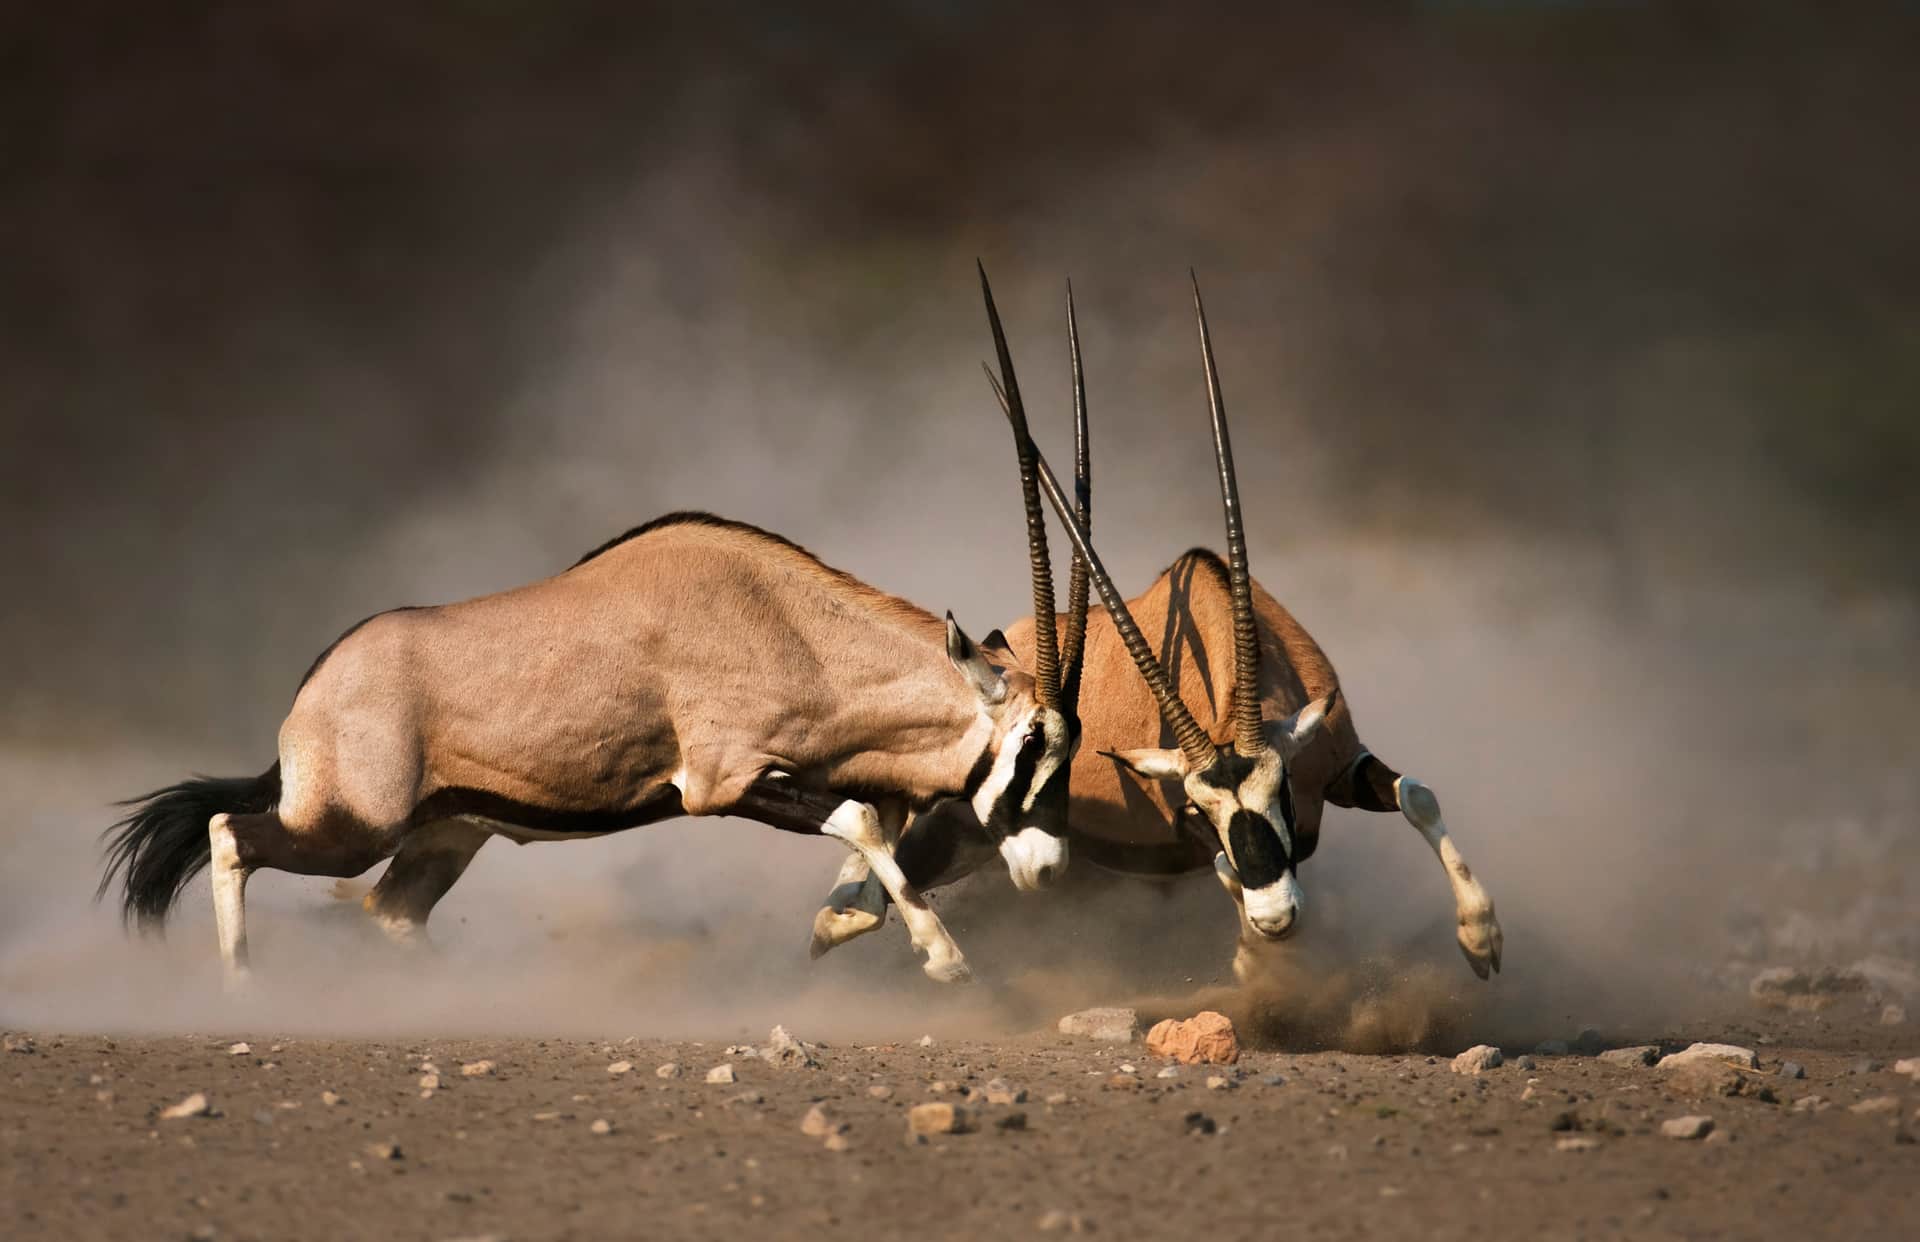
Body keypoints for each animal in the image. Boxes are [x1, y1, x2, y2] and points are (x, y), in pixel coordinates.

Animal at [99, 498, 1079, 988]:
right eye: (1033, 744)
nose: (1051, 868)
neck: (788, 625)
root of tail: (314, 690)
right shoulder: (721, 783)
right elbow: (864, 821)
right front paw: (943, 957)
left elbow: (877, 827)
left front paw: (843, 924)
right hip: (348, 827)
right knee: (231, 834)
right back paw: (242, 988)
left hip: (447, 834)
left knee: (393, 912)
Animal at [814, 275, 1504, 981]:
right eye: (1200, 807)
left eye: (1282, 789)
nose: (1276, 918)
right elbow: (1226, 867)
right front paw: (1253, 965)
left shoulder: (1340, 762)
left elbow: (1418, 794)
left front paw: (1481, 940)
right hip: (958, 835)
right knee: (854, 904)